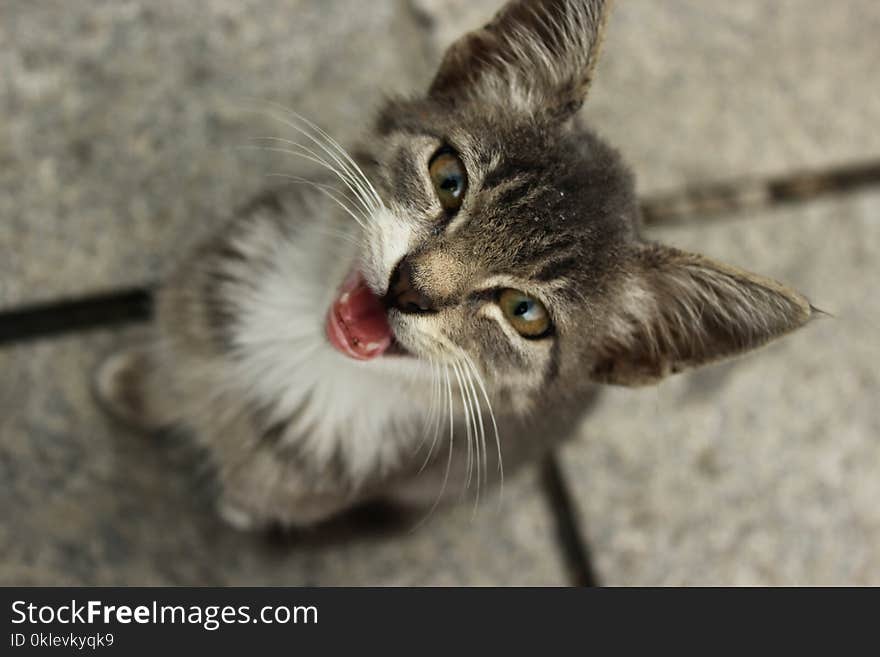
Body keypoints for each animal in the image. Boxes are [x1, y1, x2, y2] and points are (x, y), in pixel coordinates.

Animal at [94, 0, 812, 528]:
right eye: (449, 178)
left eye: (525, 313)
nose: (409, 287)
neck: (301, 351)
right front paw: (137, 384)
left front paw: (239, 504)